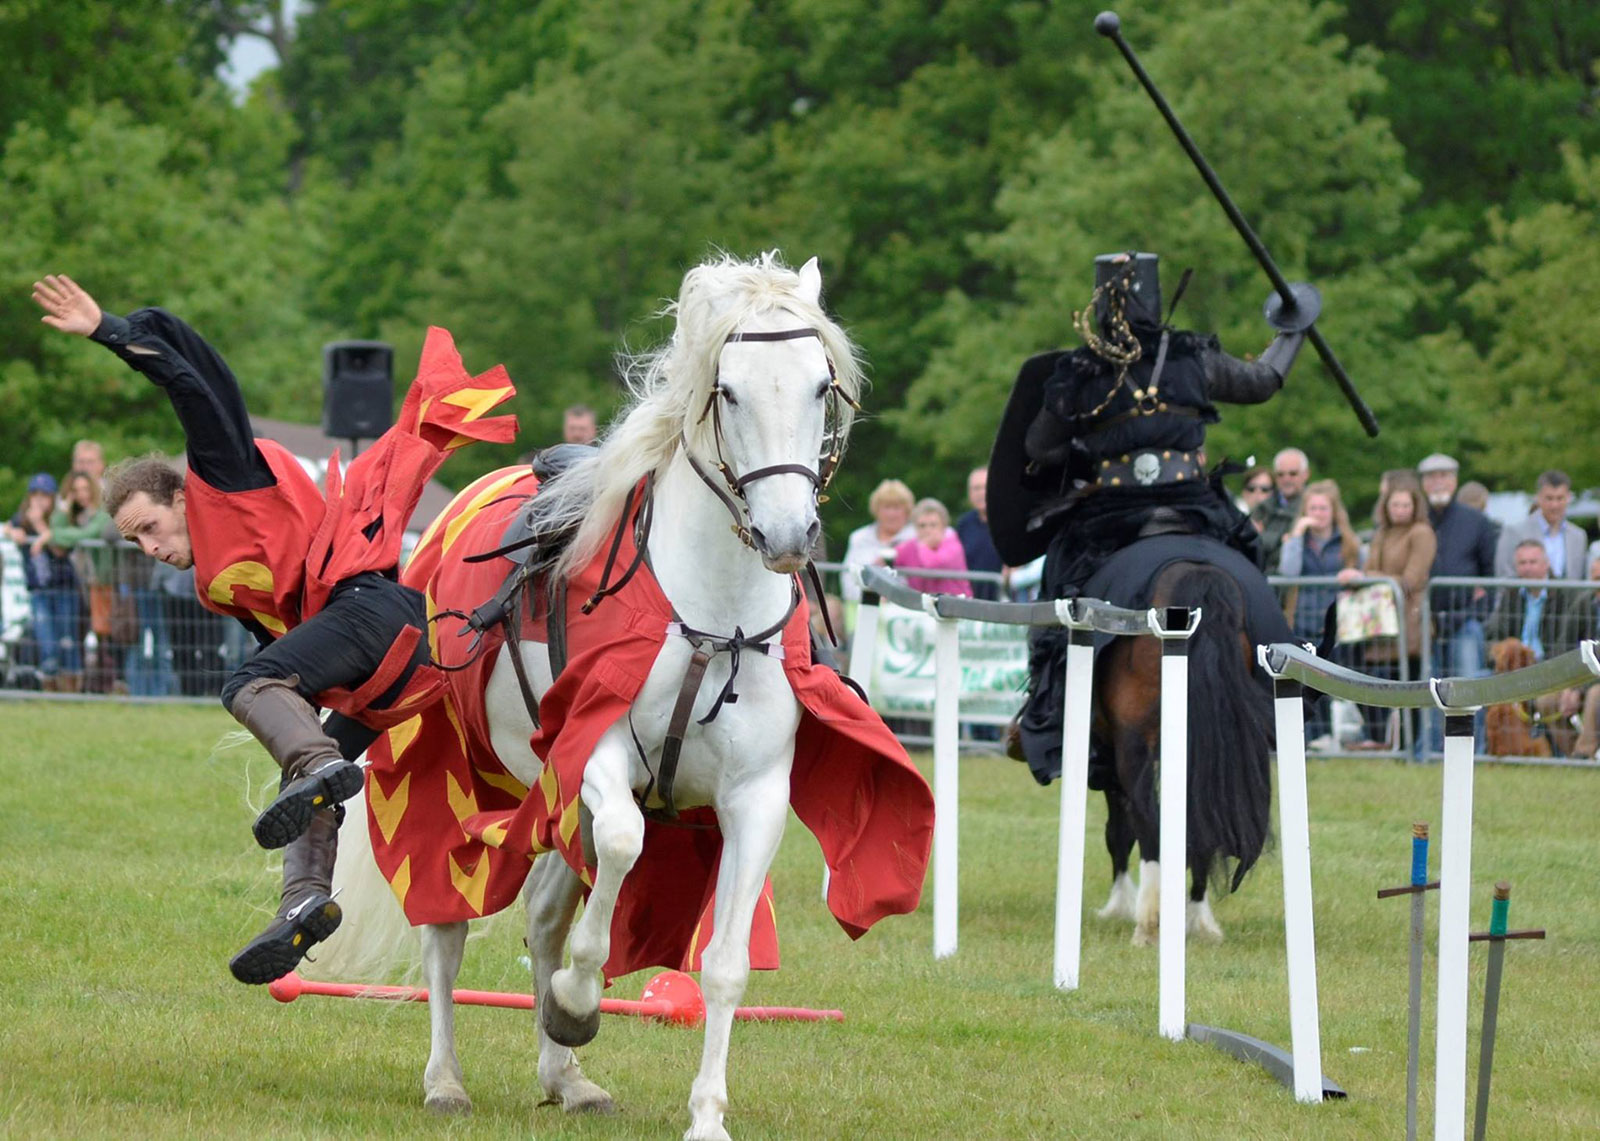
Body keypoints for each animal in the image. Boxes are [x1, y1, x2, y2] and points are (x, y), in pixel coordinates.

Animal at [326, 251, 915, 1139]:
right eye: (728, 389)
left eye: (822, 385)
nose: (786, 536)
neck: (710, 618)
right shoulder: (593, 755)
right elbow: (625, 843)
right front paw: (577, 1000)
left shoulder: (755, 798)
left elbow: (725, 964)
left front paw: (705, 1112)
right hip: (455, 775)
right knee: (446, 924)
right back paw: (447, 1077)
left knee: (541, 915)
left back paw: (565, 1076)